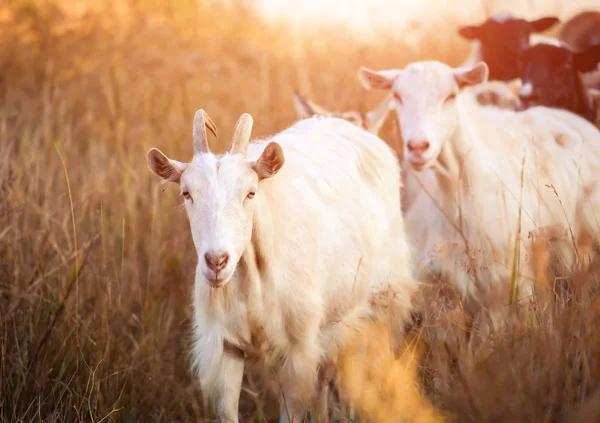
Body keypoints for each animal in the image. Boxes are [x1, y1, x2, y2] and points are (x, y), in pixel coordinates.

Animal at [146, 111, 418, 422]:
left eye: (250, 193)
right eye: (186, 193)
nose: (216, 261)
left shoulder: (298, 352)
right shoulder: (224, 348)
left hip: (379, 306)